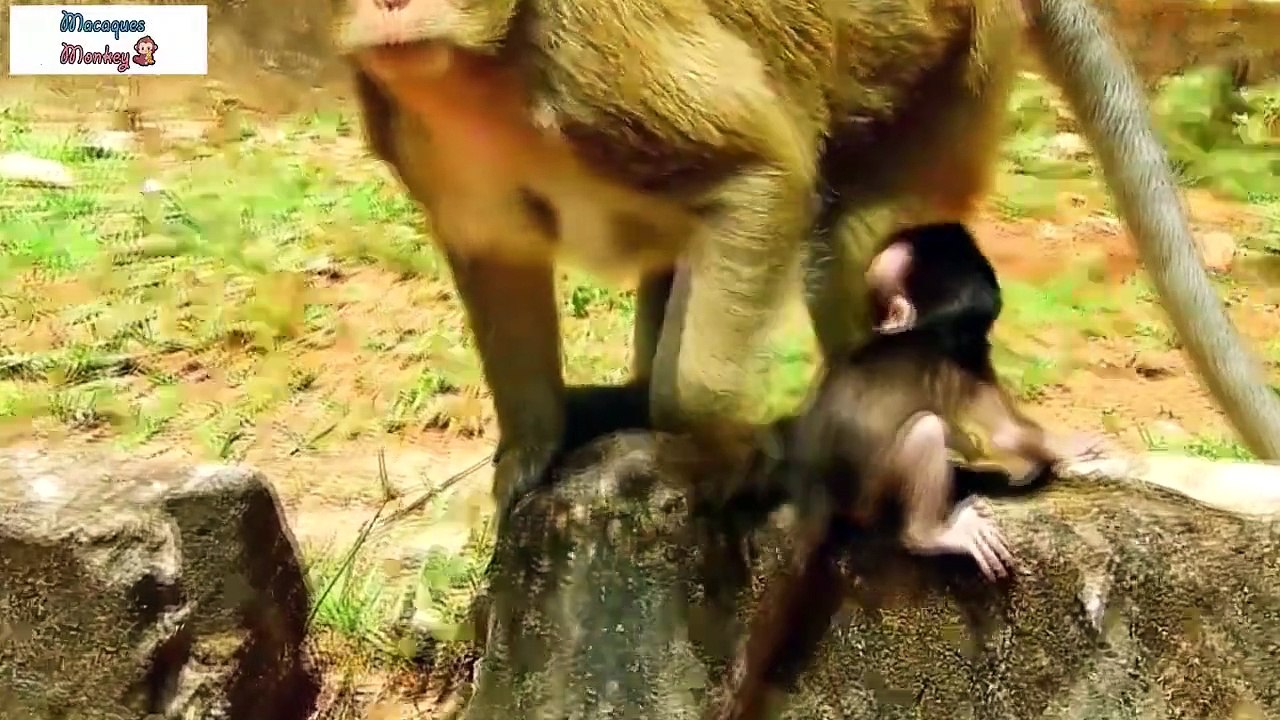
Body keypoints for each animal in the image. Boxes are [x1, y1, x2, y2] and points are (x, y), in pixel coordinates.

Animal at [337, 0, 1280, 524]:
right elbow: (498, 257)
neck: (480, 75)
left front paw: (730, 447)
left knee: (854, 239)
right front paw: (527, 454)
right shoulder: (425, 141)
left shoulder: (600, 70)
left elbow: (760, 175)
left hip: (952, 59)